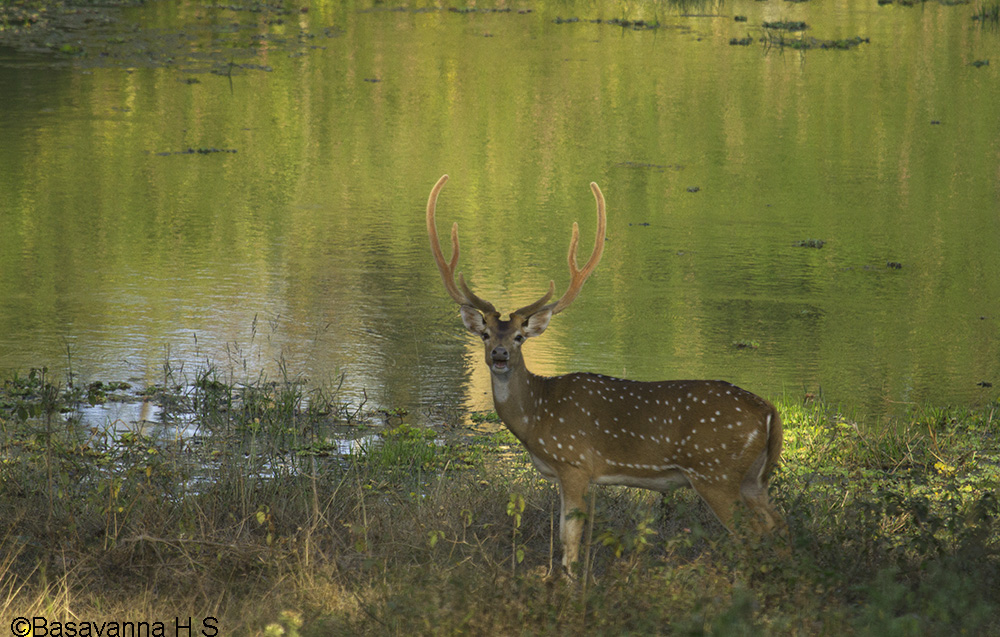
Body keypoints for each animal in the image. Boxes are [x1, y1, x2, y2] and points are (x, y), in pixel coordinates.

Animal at [426, 174, 784, 577]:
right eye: (485, 334)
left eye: (519, 336)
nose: (499, 356)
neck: (536, 416)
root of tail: (770, 412)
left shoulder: (575, 463)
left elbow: (570, 541)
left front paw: (567, 582)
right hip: (754, 478)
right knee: (778, 526)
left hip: (715, 472)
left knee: (751, 533)